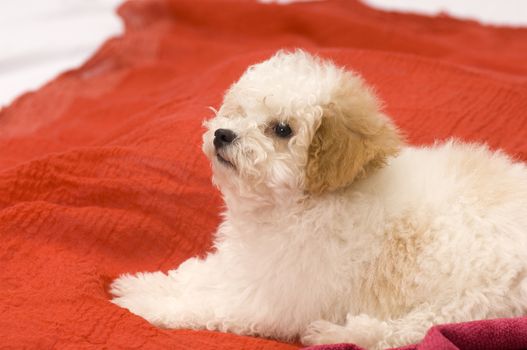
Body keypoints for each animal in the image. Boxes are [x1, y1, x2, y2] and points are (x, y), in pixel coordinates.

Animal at [110, 50, 527, 350]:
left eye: (282, 130)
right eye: (239, 112)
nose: (223, 134)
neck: (295, 207)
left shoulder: (274, 297)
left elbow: (208, 304)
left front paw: (149, 304)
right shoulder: (248, 265)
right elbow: (198, 275)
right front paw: (144, 284)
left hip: (471, 294)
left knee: (416, 330)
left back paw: (337, 334)